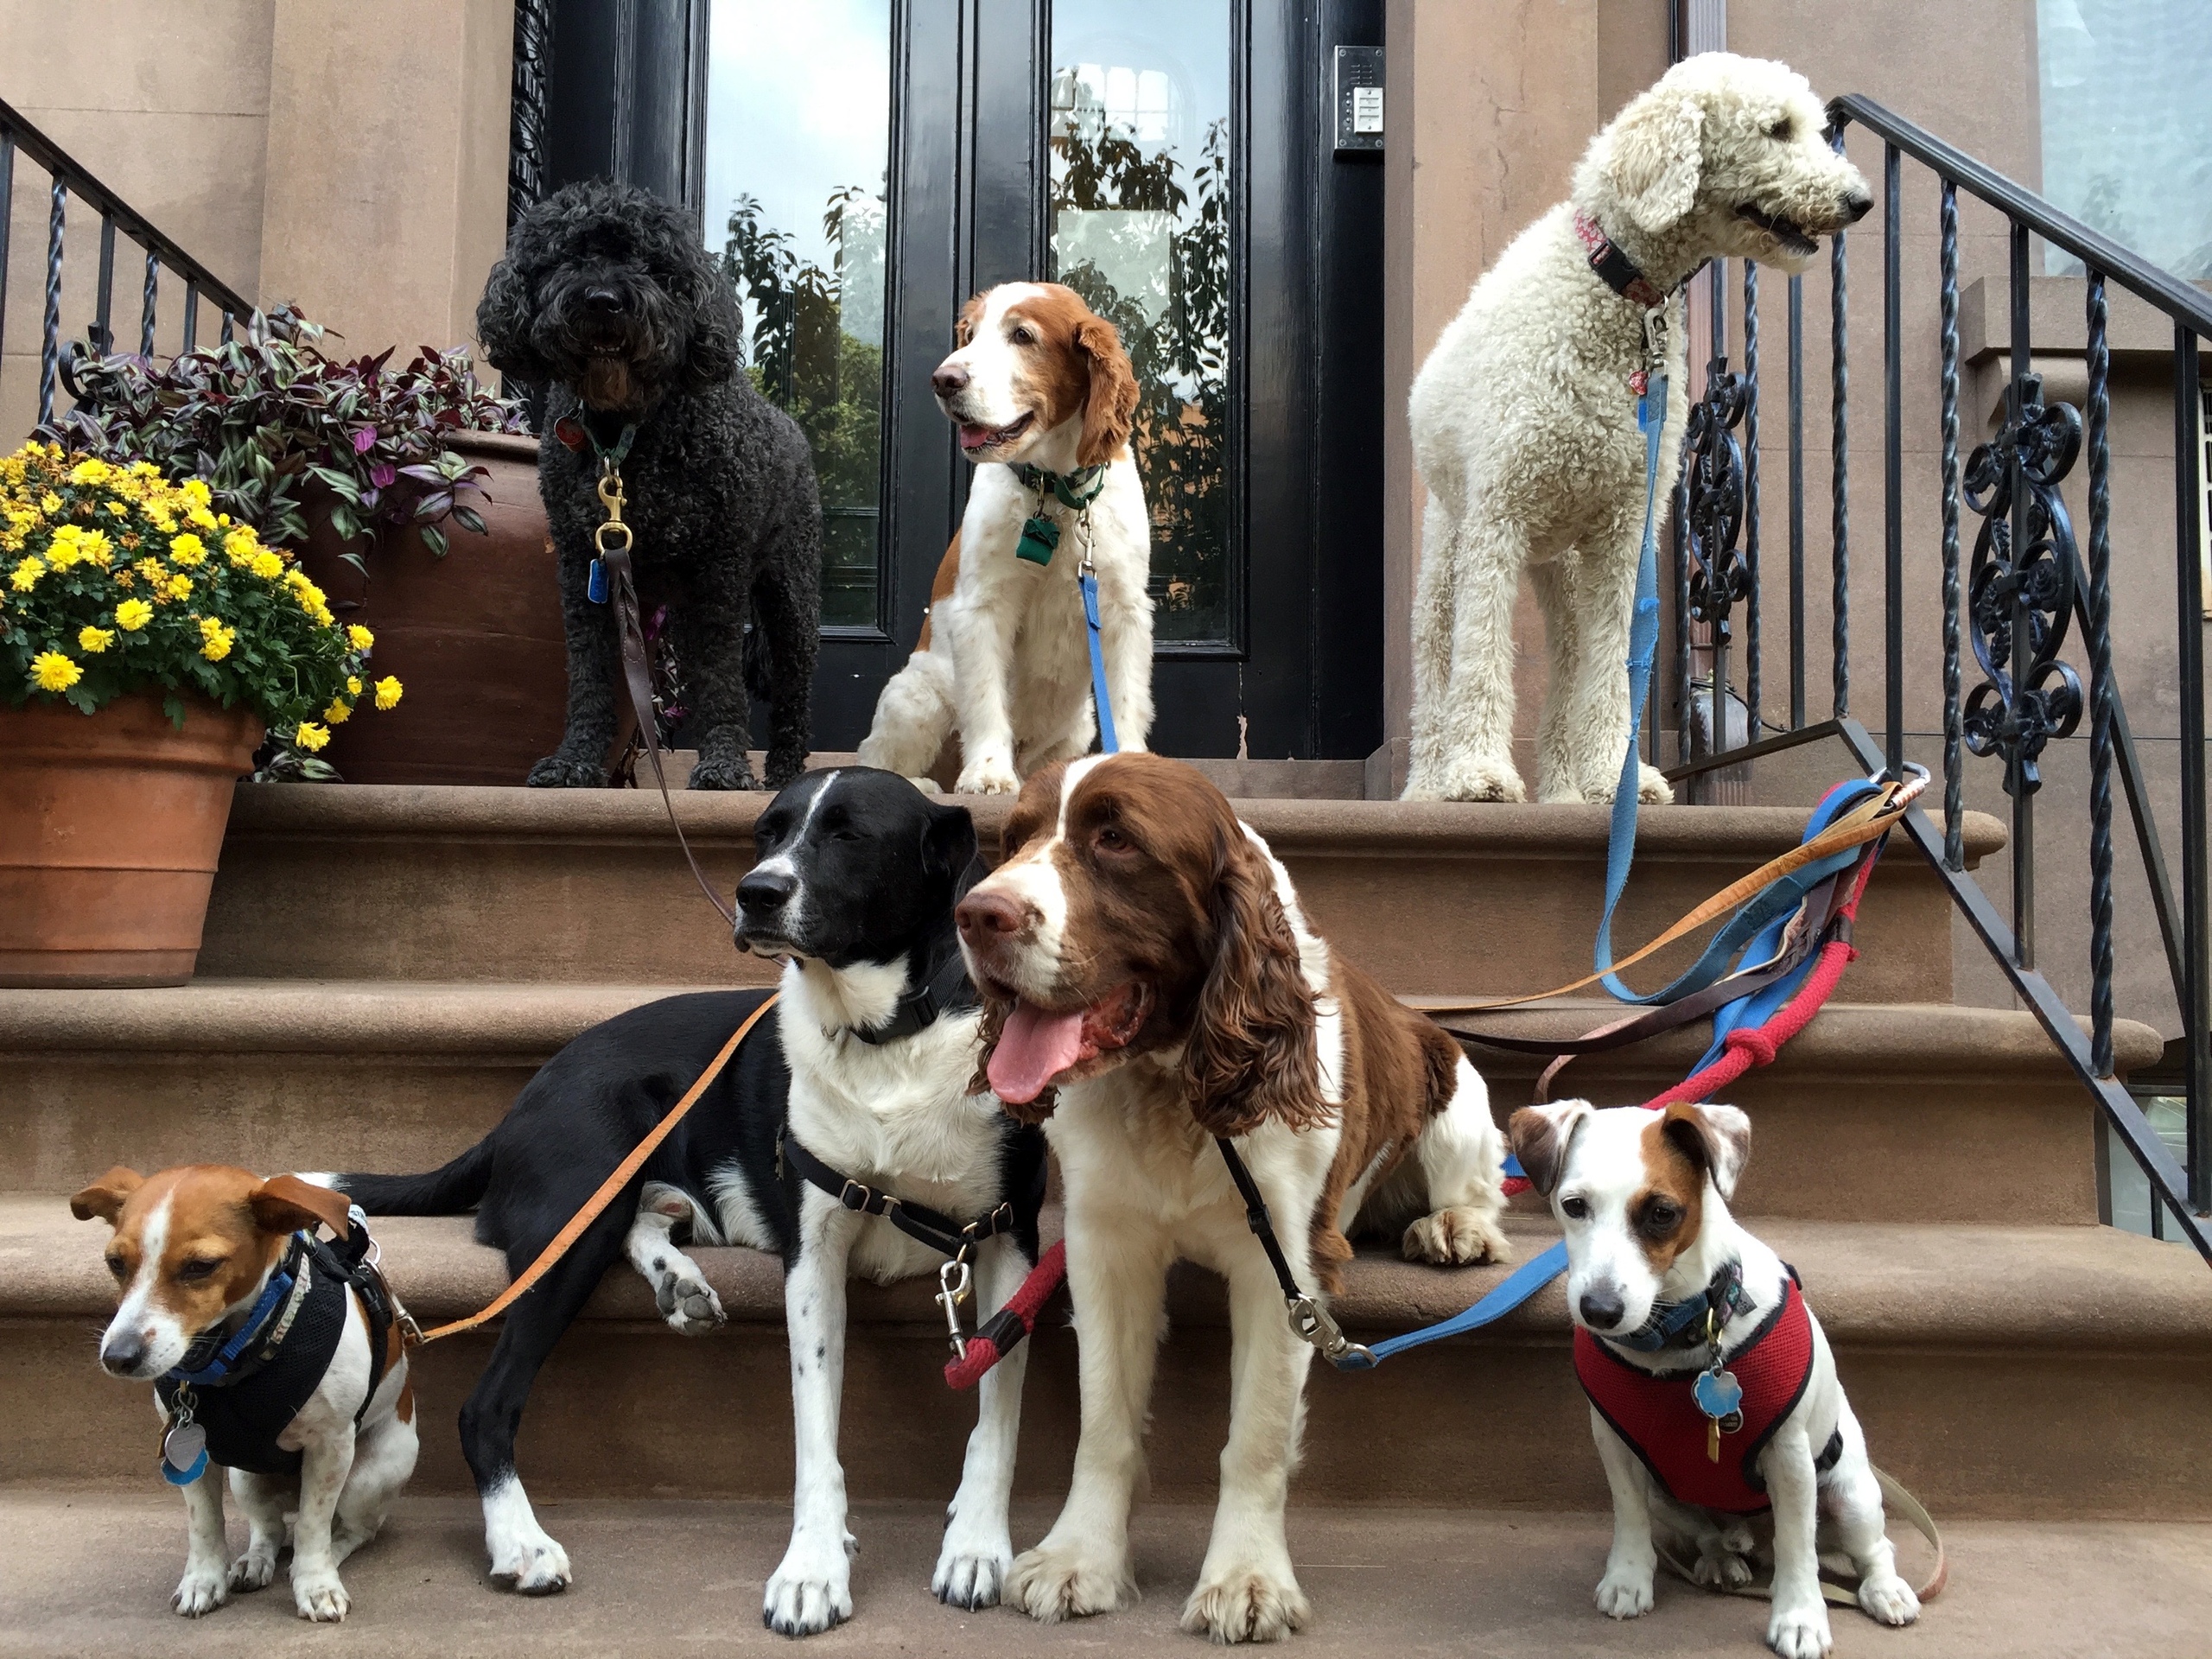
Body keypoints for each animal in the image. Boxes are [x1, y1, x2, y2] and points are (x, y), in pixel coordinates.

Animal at [332, 774, 1048, 1628]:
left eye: (850, 835)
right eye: (767, 830)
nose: (757, 892)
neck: (890, 1037)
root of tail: (517, 1106)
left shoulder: (1010, 1238)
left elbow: (997, 1415)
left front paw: (975, 1546)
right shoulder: (814, 1255)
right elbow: (816, 1435)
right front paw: (812, 1566)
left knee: (648, 1219)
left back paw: (680, 1281)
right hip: (579, 1208)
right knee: (486, 1405)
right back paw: (521, 1541)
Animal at [477, 181, 823, 791]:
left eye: (652, 263)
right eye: (569, 257)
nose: (602, 300)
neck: (626, 433)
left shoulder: (719, 574)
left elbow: (719, 678)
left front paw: (724, 765)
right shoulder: (584, 570)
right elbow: (590, 672)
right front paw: (576, 760)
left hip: (791, 593)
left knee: (793, 686)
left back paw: (784, 770)